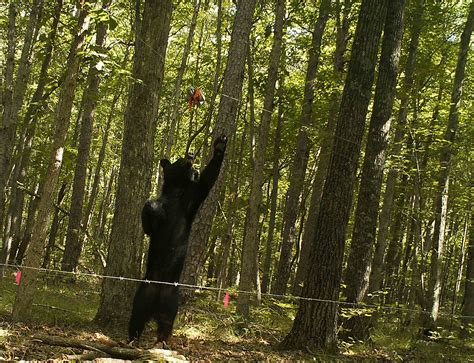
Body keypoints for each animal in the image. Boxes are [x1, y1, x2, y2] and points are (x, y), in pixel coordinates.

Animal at [129, 135, 227, 346]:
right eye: (178, 159)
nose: (190, 154)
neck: (176, 192)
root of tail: (156, 304)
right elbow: (148, 223)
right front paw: (153, 207)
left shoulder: (191, 201)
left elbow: (207, 181)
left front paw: (220, 146)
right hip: (143, 294)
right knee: (136, 317)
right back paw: (132, 340)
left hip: (171, 301)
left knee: (166, 323)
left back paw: (161, 342)